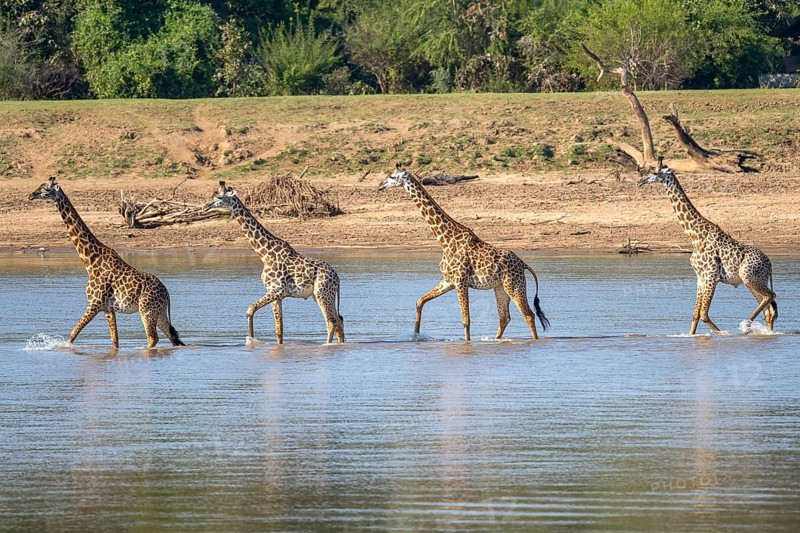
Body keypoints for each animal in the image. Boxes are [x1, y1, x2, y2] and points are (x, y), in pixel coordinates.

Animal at [29, 177, 184, 348]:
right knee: (174, 337)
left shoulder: (94, 303)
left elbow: (72, 334)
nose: (30, 195)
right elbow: (115, 341)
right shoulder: (108, 308)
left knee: (153, 338)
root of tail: (166, 293)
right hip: (160, 312)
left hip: (146, 309)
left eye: (46, 189)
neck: (90, 261)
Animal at [205, 181, 344, 344]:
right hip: (321, 295)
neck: (265, 254)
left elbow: (250, 309)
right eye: (214, 194)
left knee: (331, 322)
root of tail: (337, 278)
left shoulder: (276, 290)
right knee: (339, 320)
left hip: (322, 293)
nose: (206, 206)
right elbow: (279, 329)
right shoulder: (276, 295)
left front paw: (250, 340)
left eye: (220, 197)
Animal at [378, 166, 549, 341]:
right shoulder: (448, 281)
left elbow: (465, 320)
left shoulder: (460, 281)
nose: (380, 185)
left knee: (528, 315)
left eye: (392, 177)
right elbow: (420, 301)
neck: (445, 239)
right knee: (504, 317)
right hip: (500, 288)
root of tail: (523, 263)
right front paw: (415, 335)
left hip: (514, 285)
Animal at [638, 164, 777, 334]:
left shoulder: (711, 275)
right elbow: (695, 315)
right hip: (754, 280)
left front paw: (723, 334)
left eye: (655, 172)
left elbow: (704, 314)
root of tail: (769, 264)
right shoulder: (700, 277)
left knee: (770, 296)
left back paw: (746, 325)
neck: (694, 236)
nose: (640, 181)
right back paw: (766, 332)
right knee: (769, 309)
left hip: (749, 277)